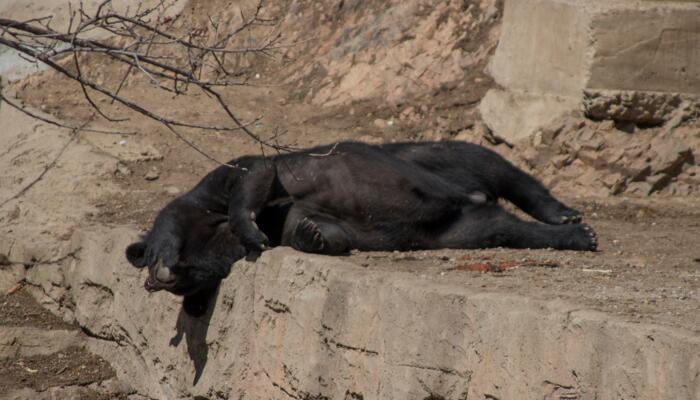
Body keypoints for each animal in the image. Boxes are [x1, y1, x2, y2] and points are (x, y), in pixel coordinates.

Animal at [126, 141, 596, 316]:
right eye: (190, 280)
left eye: (157, 259)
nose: (158, 278)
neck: (210, 230)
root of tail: (472, 197)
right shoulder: (290, 222)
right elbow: (320, 229)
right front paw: (313, 234)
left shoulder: (219, 187)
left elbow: (255, 174)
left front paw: (251, 230)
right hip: (460, 228)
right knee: (502, 229)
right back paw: (572, 234)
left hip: (425, 156)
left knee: (496, 166)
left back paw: (566, 215)